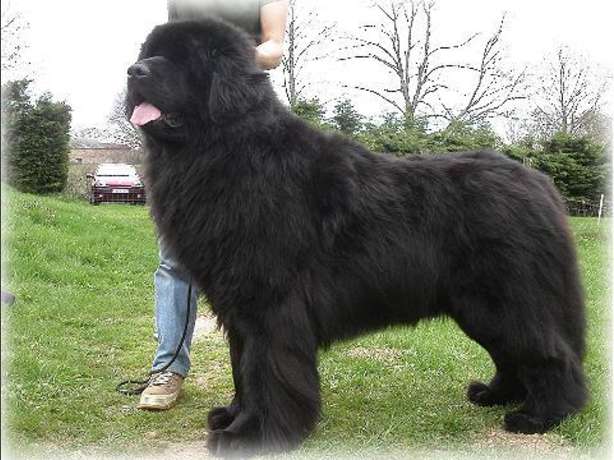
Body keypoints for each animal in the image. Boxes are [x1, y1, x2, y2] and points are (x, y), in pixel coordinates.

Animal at [127, 18, 588, 456]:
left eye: (184, 59)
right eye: (150, 53)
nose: (134, 71)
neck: (224, 150)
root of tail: (539, 182)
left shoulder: (270, 306)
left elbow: (265, 372)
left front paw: (252, 435)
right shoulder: (238, 308)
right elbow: (243, 367)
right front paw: (232, 415)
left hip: (505, 301)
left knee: (549, 354)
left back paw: (541, 416)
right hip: (478, 306)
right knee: (511, 355)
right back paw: (495, 395)